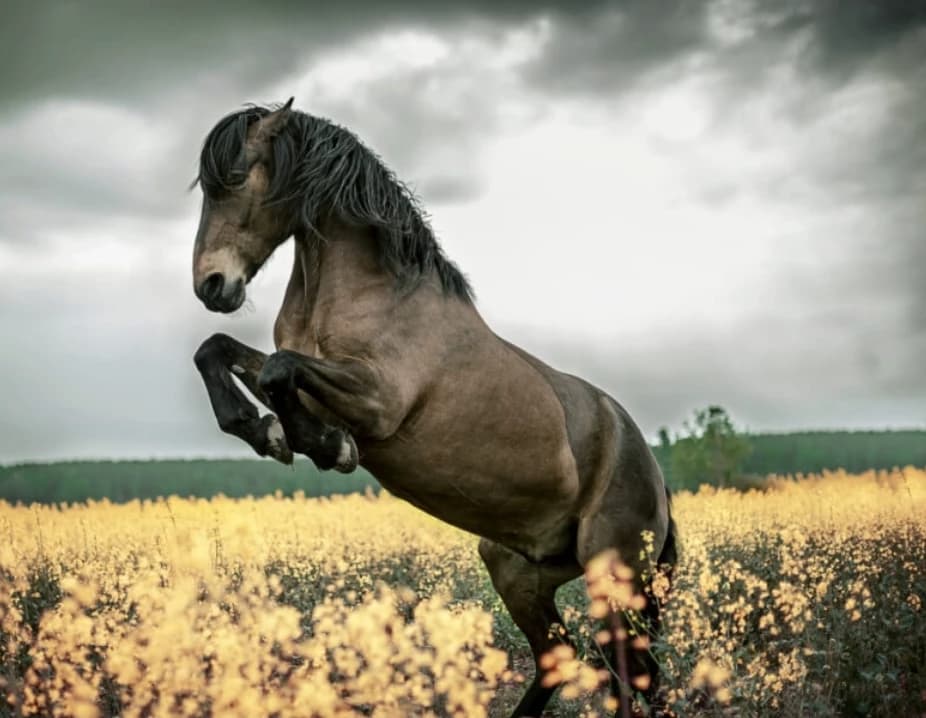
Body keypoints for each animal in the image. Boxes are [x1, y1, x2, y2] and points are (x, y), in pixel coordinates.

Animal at [190, 99, 677, 717]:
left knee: (627, 676)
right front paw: (268, 432)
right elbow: (219, 352)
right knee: (564, 657)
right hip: (517, 568)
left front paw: (323, 445)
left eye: (236, 177)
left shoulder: (378, 402)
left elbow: (279, 369)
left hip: (614, 576)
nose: (211, 285)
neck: (370, 296)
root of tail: (655, 478)